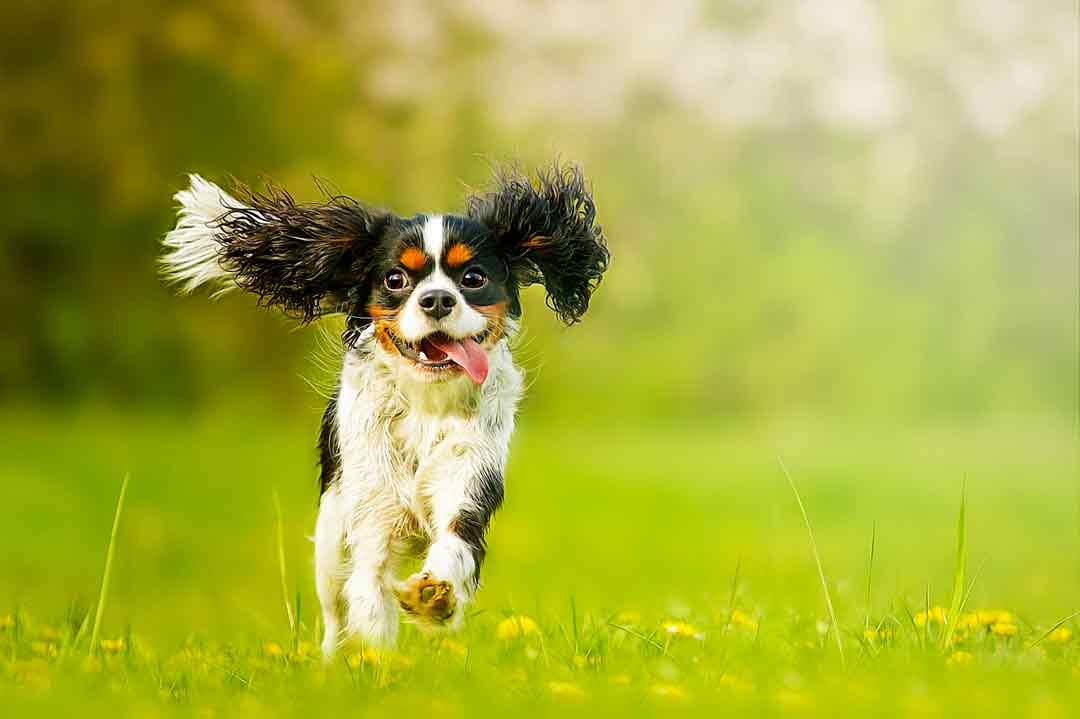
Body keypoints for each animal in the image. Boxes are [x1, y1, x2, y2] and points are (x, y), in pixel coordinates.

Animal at [164, 164, 613, 656]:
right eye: (396, 280)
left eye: (473, 278)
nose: (437, 300)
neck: (426, 401)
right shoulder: (371, 519)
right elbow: (369, 597)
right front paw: (375, 666)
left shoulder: (467, 480)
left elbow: (454, 544)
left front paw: (434, 597)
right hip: (331, 537)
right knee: (334, 614)